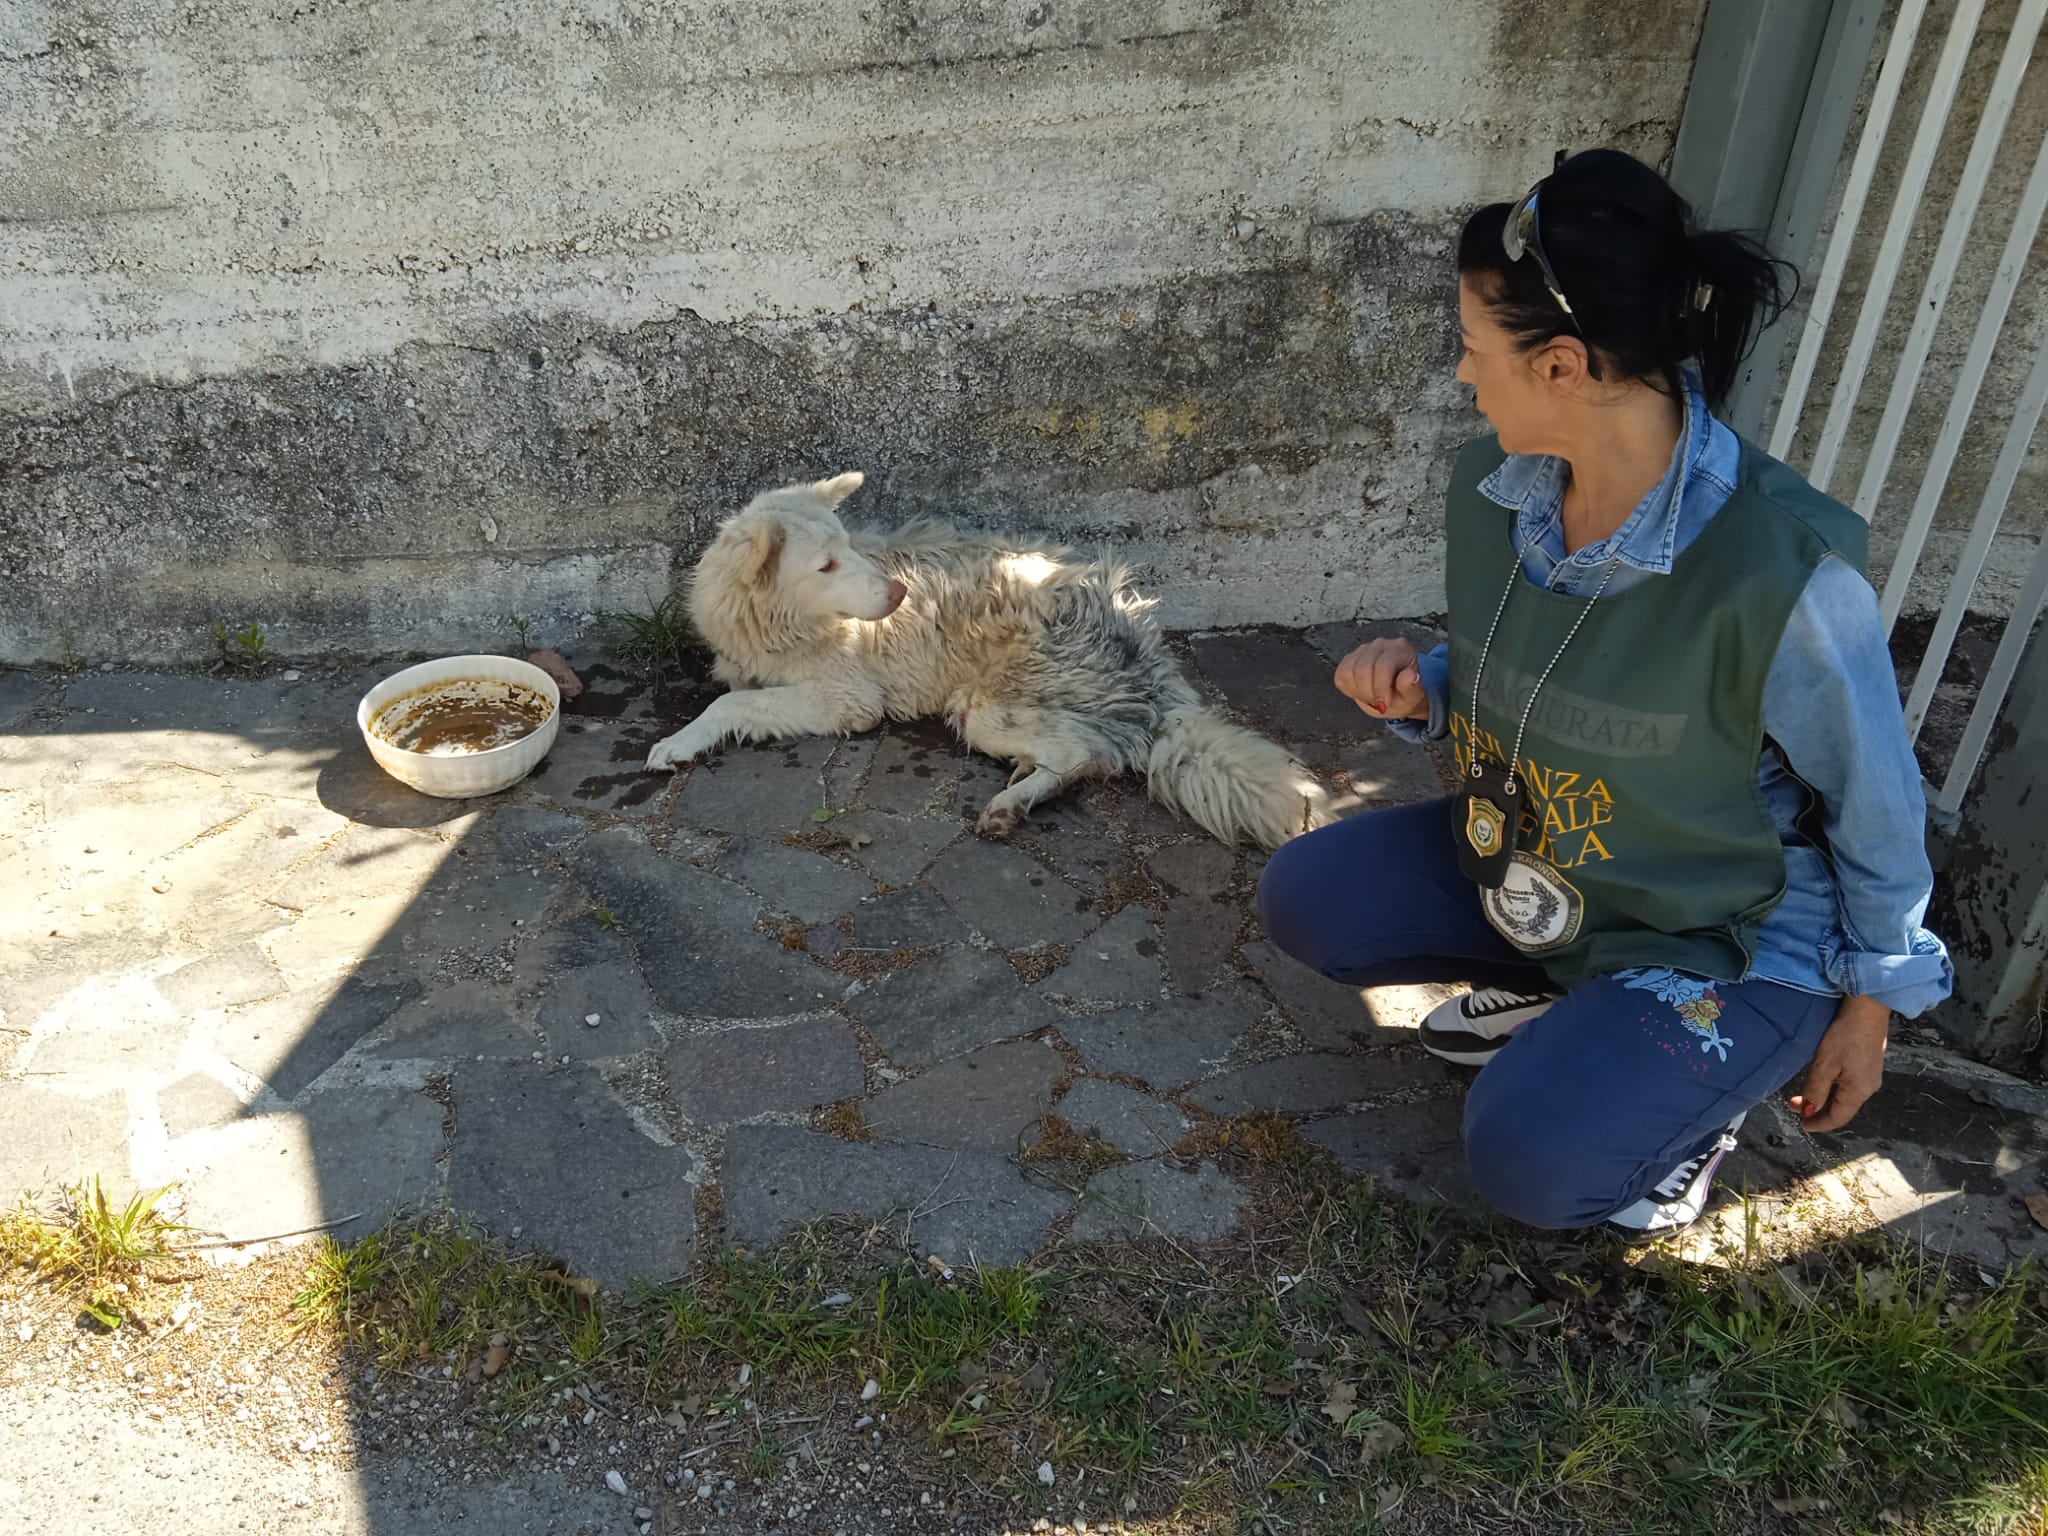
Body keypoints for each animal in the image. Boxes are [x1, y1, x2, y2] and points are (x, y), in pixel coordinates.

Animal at [647, 473, 1335, 856]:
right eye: (826, 565)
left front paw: (678, 741)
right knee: (1081, 753)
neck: (777, 621)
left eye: (845, 551)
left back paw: (1011, 806)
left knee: (1087, 756)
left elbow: (730, 702)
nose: (899, 592)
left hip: (982, 708)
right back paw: (1022, 784)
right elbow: (736, 688)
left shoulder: (847, 699)